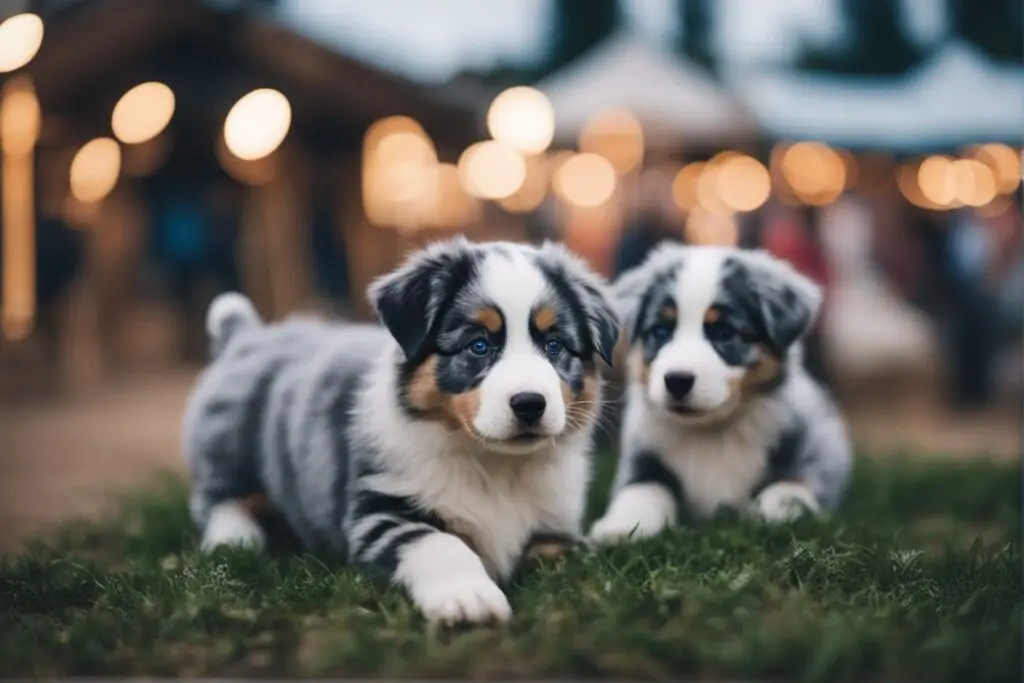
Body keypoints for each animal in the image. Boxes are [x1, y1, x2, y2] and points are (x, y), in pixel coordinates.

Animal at [180, 239, 618, 626]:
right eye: (478, 346)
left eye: (555, 345)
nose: (530, 404)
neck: (496, 466)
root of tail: (246, 335)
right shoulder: (381, 512)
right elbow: (439, 543)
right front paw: (468, 597)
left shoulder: (555, 527)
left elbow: (568, 558)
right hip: (225, 444)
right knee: (217, 498)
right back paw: (234, 538)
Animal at [589, 241, 851, 544]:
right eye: (661, 330)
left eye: (724, 332)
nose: (677, 380)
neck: (713, 434)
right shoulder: (643, 457)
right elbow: (641, 490)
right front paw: (620, 527)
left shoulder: (813, 451)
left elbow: (790, 486)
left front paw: (775, 514)